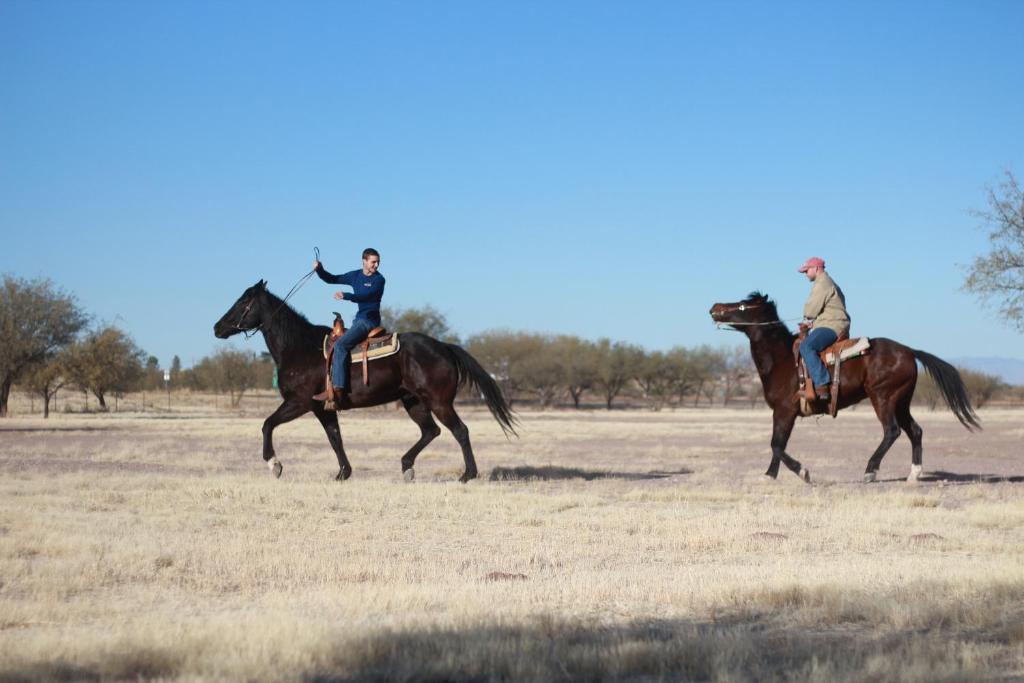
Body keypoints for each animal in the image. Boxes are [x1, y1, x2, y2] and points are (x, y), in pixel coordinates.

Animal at [212, 280, 516, 483]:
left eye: (243, 302)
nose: (217, 327)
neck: (300, 347)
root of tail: (443, 346)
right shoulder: (323, 408)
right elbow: (335, 438)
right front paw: (343, 473)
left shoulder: (299, 402)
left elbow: (267, 424)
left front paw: (274, 464)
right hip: (414, 402)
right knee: (431, 431)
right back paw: (407, 466)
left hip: (439, 402)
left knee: (460, 431)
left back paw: (467, 474)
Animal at [708, 290, 978, 483]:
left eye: (742, 305)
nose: (715, 307)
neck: (782, 359)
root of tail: (909, 351)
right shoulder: (781, 413)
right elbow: (778, 444)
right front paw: (769, 475)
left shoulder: (785, 411)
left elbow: (777, 444)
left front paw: (803, 472)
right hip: (901, 401)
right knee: (915, 430)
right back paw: (914, 474)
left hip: (883, 398)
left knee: (892, 431)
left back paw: (870, 471)